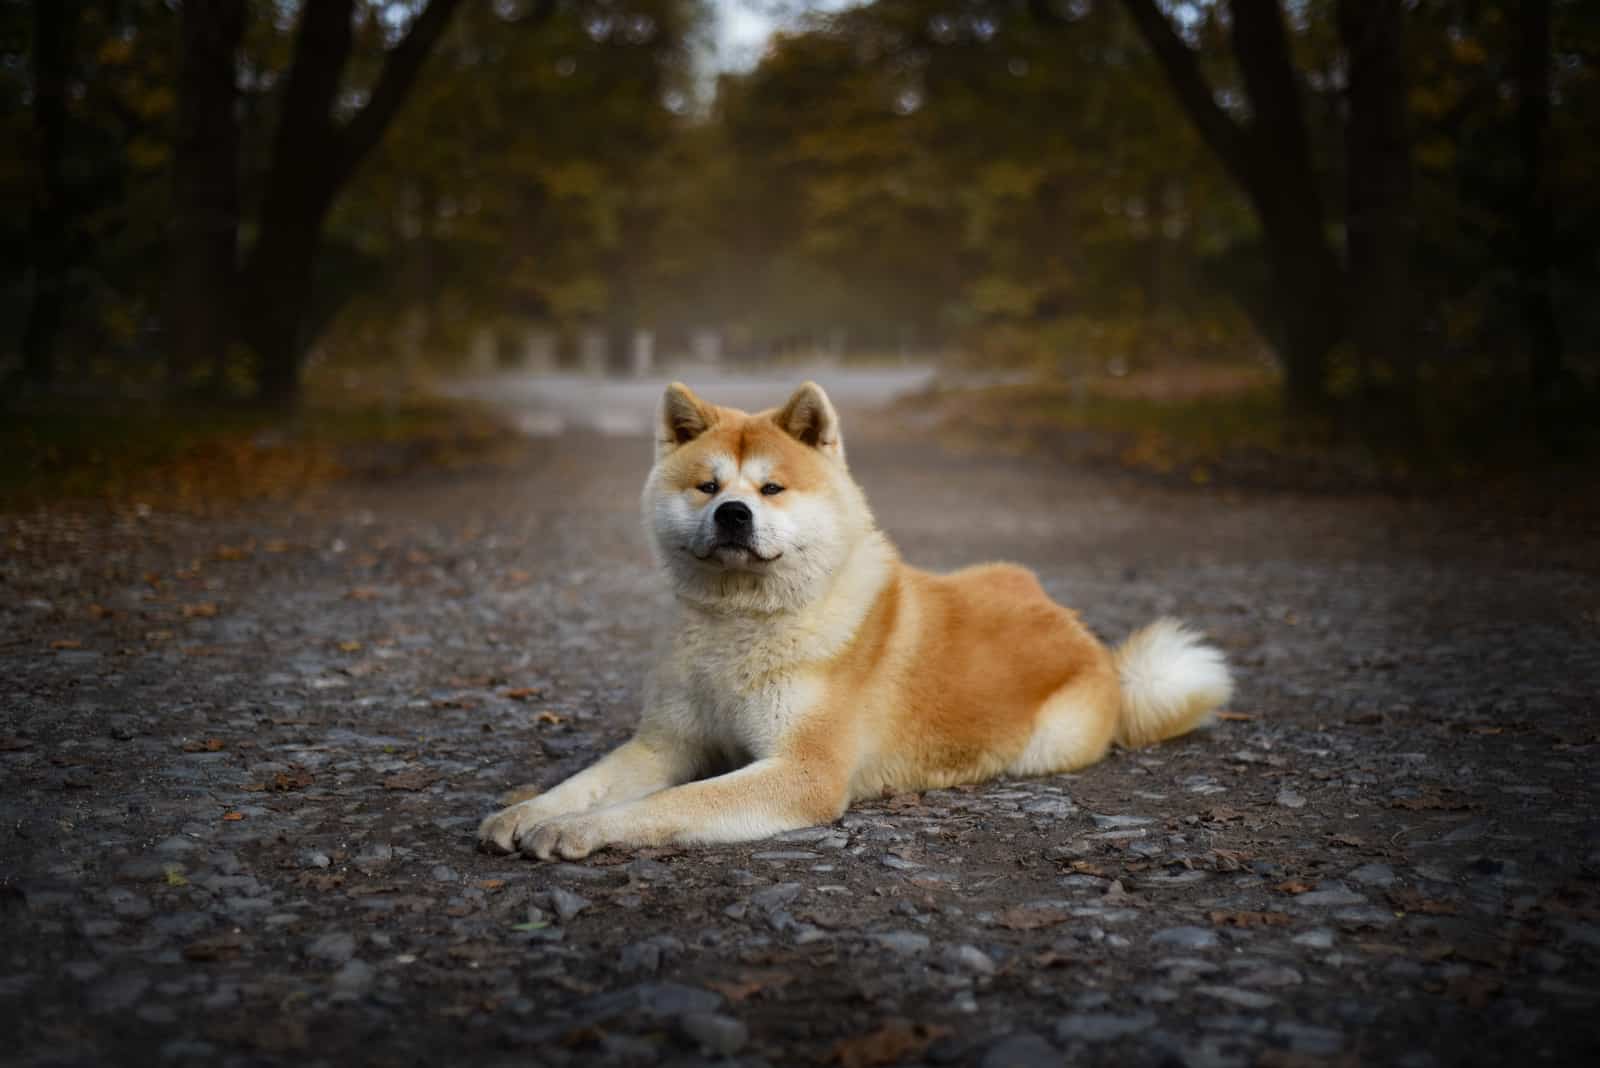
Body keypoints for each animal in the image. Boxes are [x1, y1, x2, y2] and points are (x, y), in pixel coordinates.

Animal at [480, 382, 1228, 856]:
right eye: (707, 486)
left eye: (772, 488)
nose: (733, 513)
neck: (741, 626)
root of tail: (1086, 637)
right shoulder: (666, 744)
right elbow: (585, 782)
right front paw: (527, 812)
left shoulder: (802, 773)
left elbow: (670, 804)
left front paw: (584, 830)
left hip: (1046, 742)